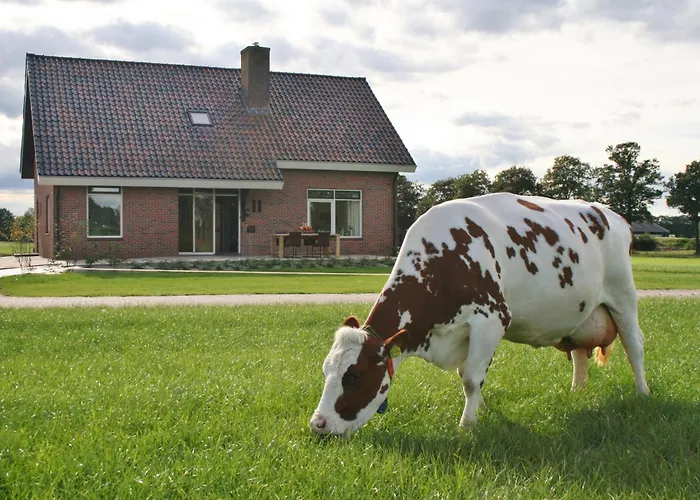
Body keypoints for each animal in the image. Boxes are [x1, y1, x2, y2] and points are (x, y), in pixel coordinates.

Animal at [310, 193, 651, 437]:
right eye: (326, 371)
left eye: (354, 375)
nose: (318, 425)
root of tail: (609, 214)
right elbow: (469, 375)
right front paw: (481, 412)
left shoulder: (492, 318)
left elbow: (472, 379)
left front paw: (467, 425)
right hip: (579, 313)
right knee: (580, 353)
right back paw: (577, 393)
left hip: (623, 295)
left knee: (634, 346)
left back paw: (642, 393)